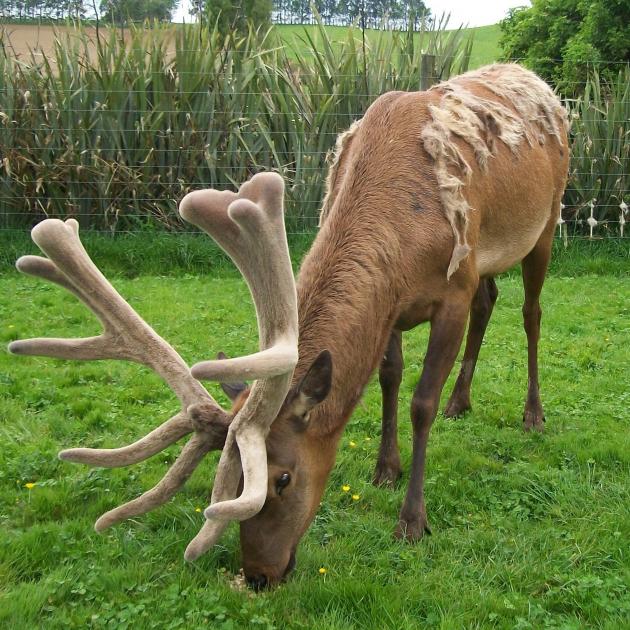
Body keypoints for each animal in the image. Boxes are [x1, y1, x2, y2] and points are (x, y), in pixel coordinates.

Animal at [11, 64, 572, 592]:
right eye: (232, 483)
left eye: (282, 478)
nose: (258, 574)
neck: (405, 237)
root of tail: (536, 81)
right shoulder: (394, 306)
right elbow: (388, 377)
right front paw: (384, 470)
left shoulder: (452, 289)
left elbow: (420, 403)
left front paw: (412, 521)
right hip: (490, 257)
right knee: (490, 300)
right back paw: (463, 402)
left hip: (547, 222)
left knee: (531, 313)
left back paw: (533, 414)